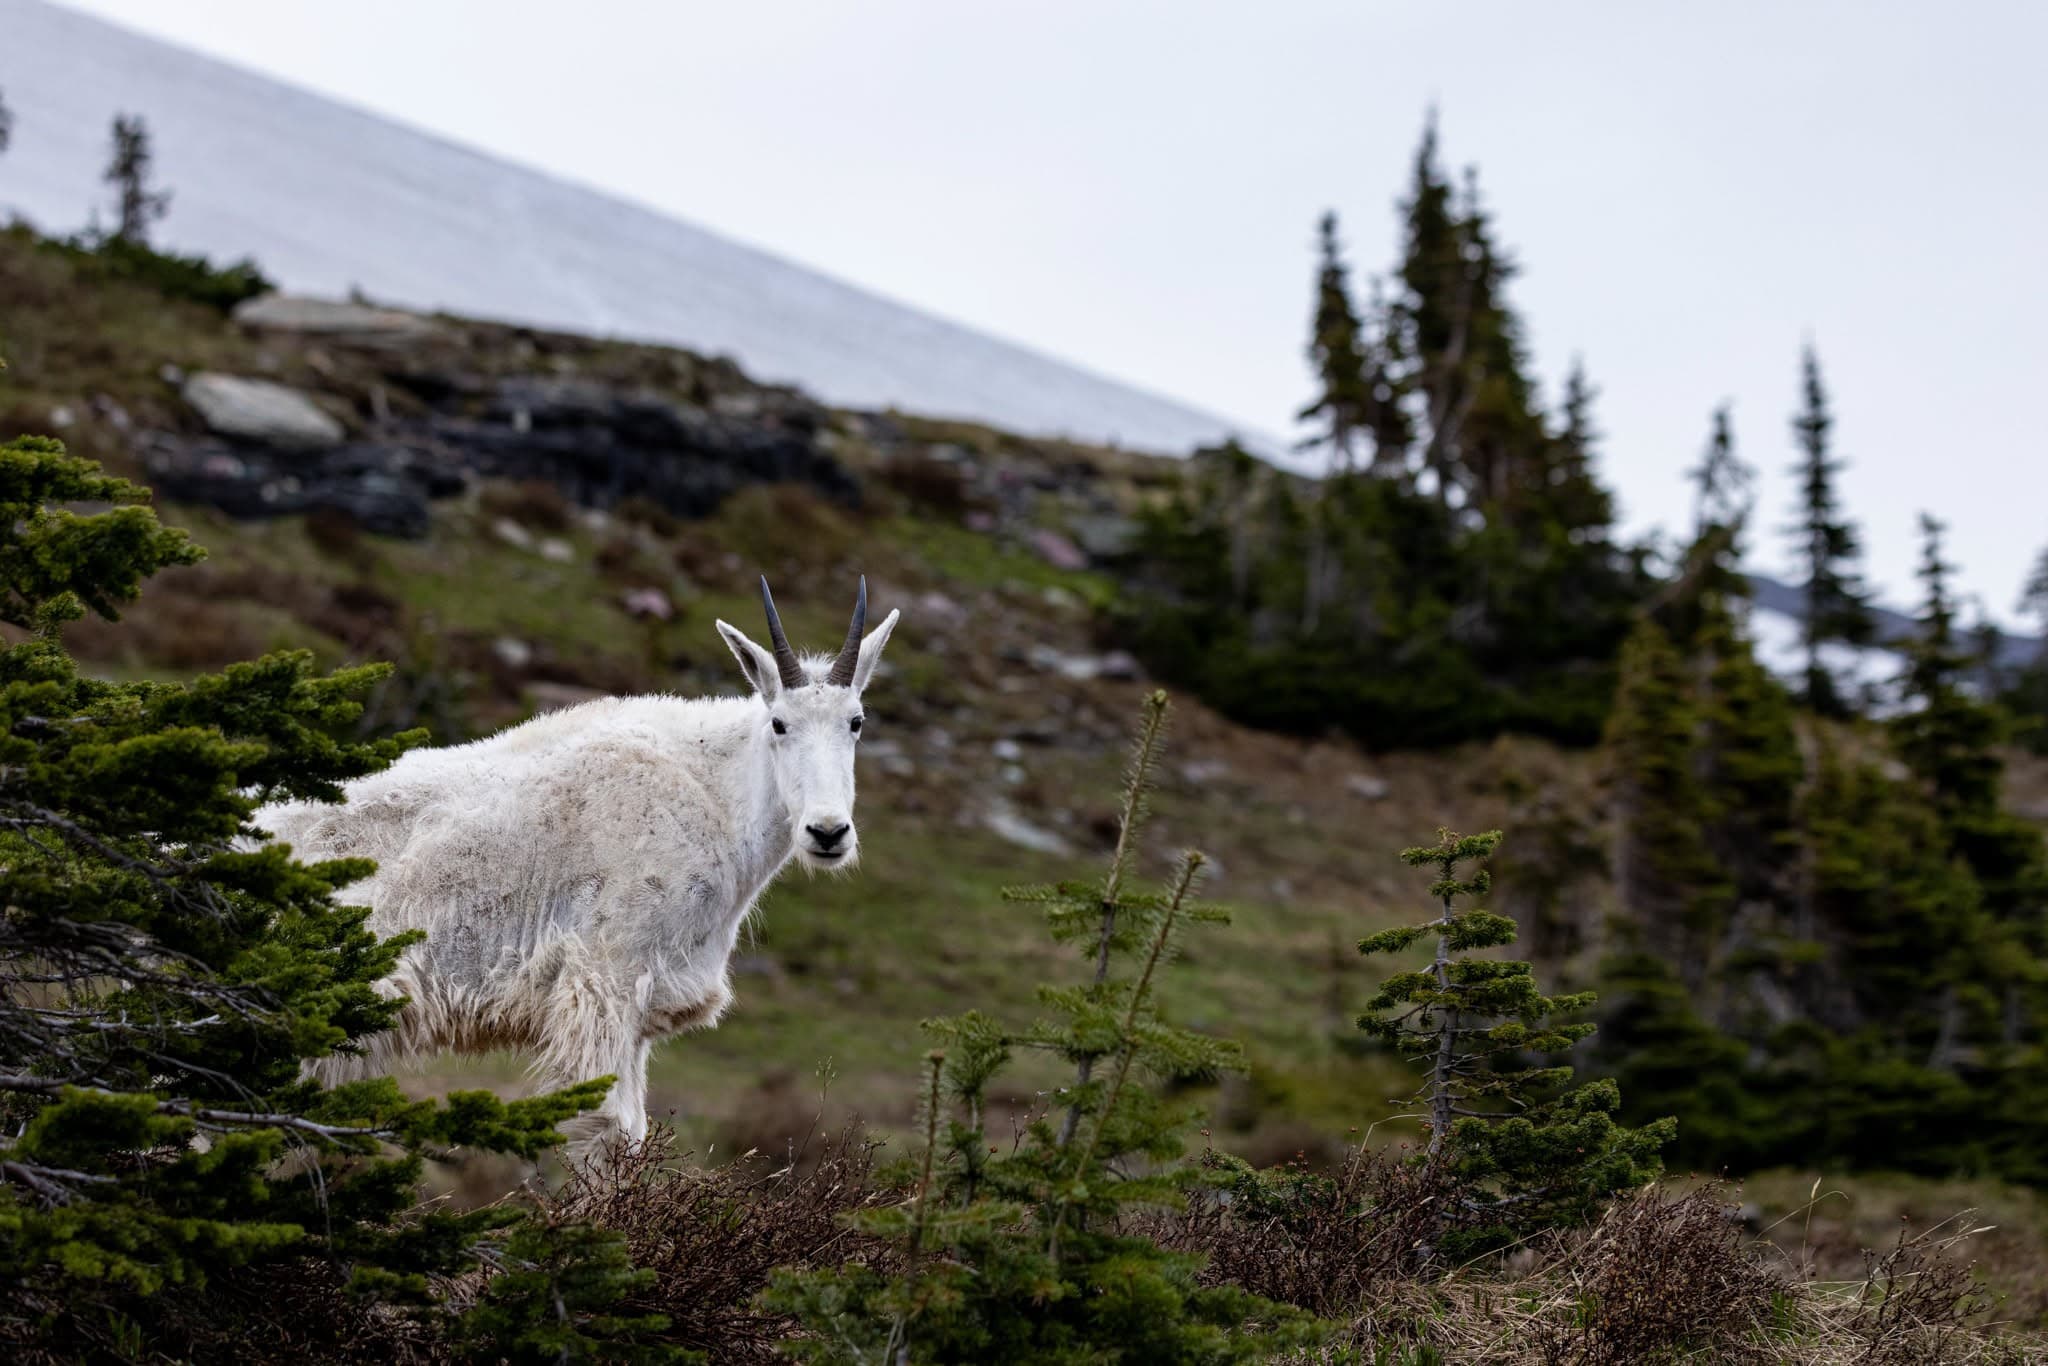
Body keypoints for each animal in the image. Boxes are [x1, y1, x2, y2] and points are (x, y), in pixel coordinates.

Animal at [259, 578, 899, 1158]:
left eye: (857, 722)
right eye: (779, 724)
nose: (827, 832)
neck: (713, 796)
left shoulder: (644, 1007)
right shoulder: (602, 977)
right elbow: (605, 1128)